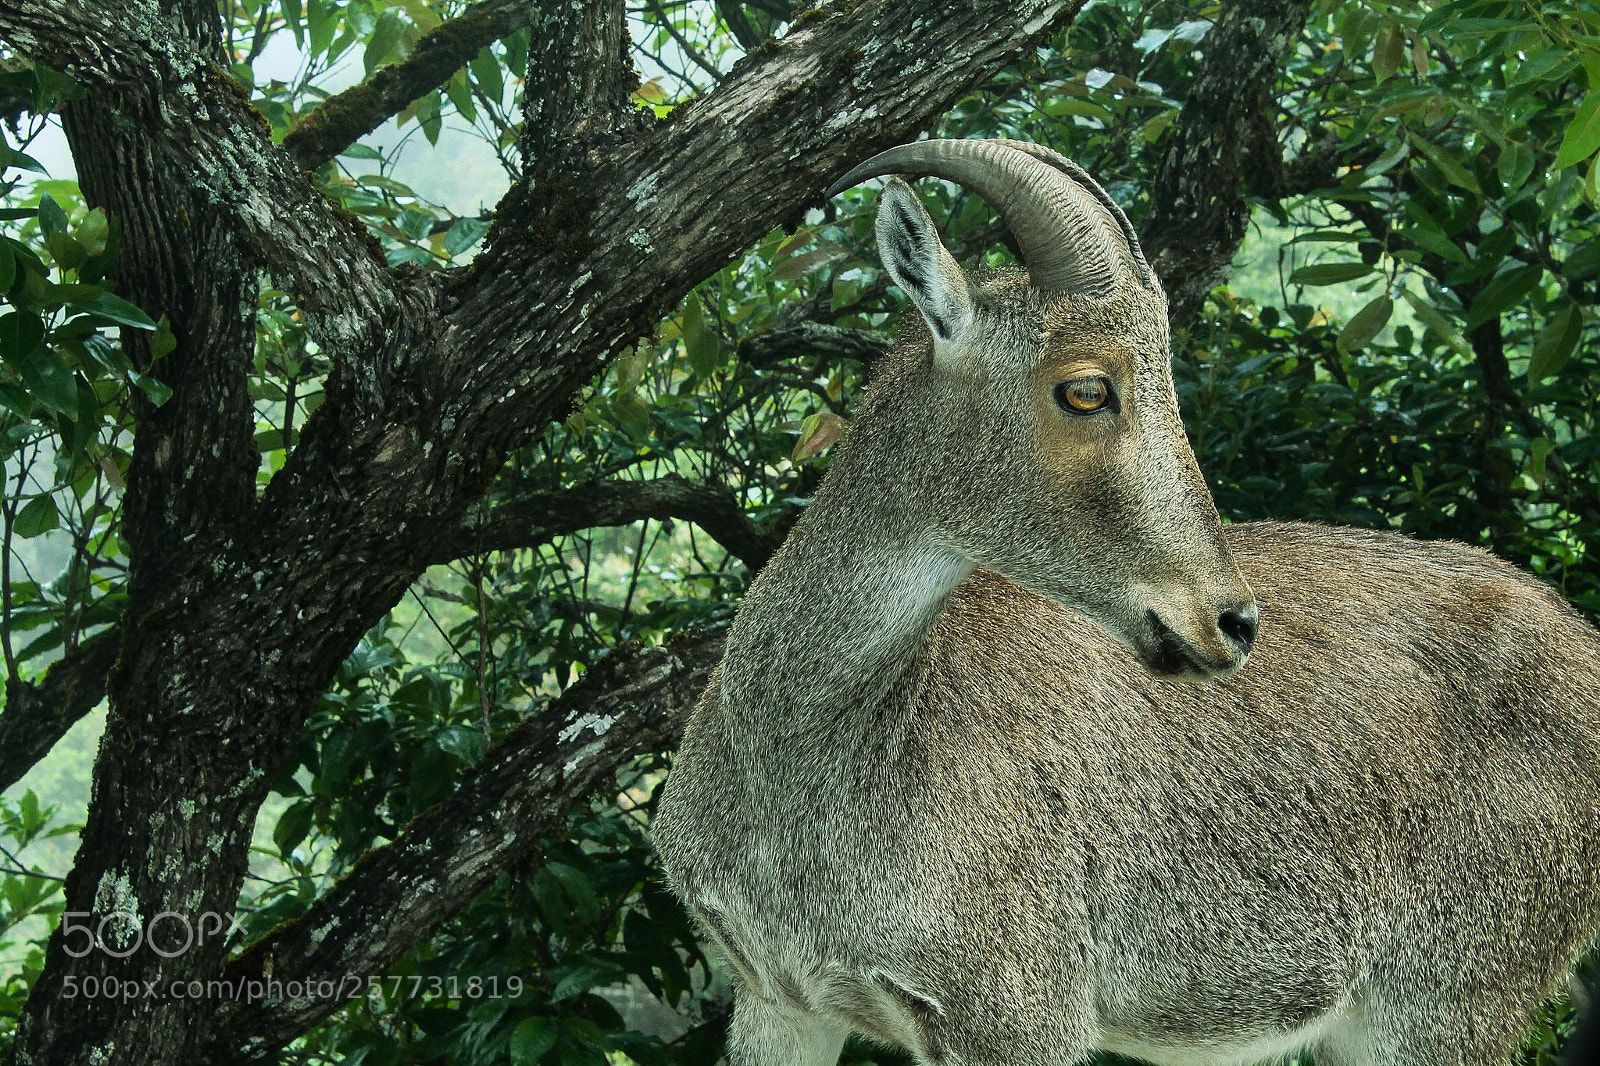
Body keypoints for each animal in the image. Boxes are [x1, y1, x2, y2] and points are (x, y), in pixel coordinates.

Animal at [651, 138, 1600, 1066]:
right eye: (1085, 387)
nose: (1230, 622)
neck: (801, 756)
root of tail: (1584, 643)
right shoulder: (778, 1000)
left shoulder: (1017, 1012)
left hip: (1450, 996)